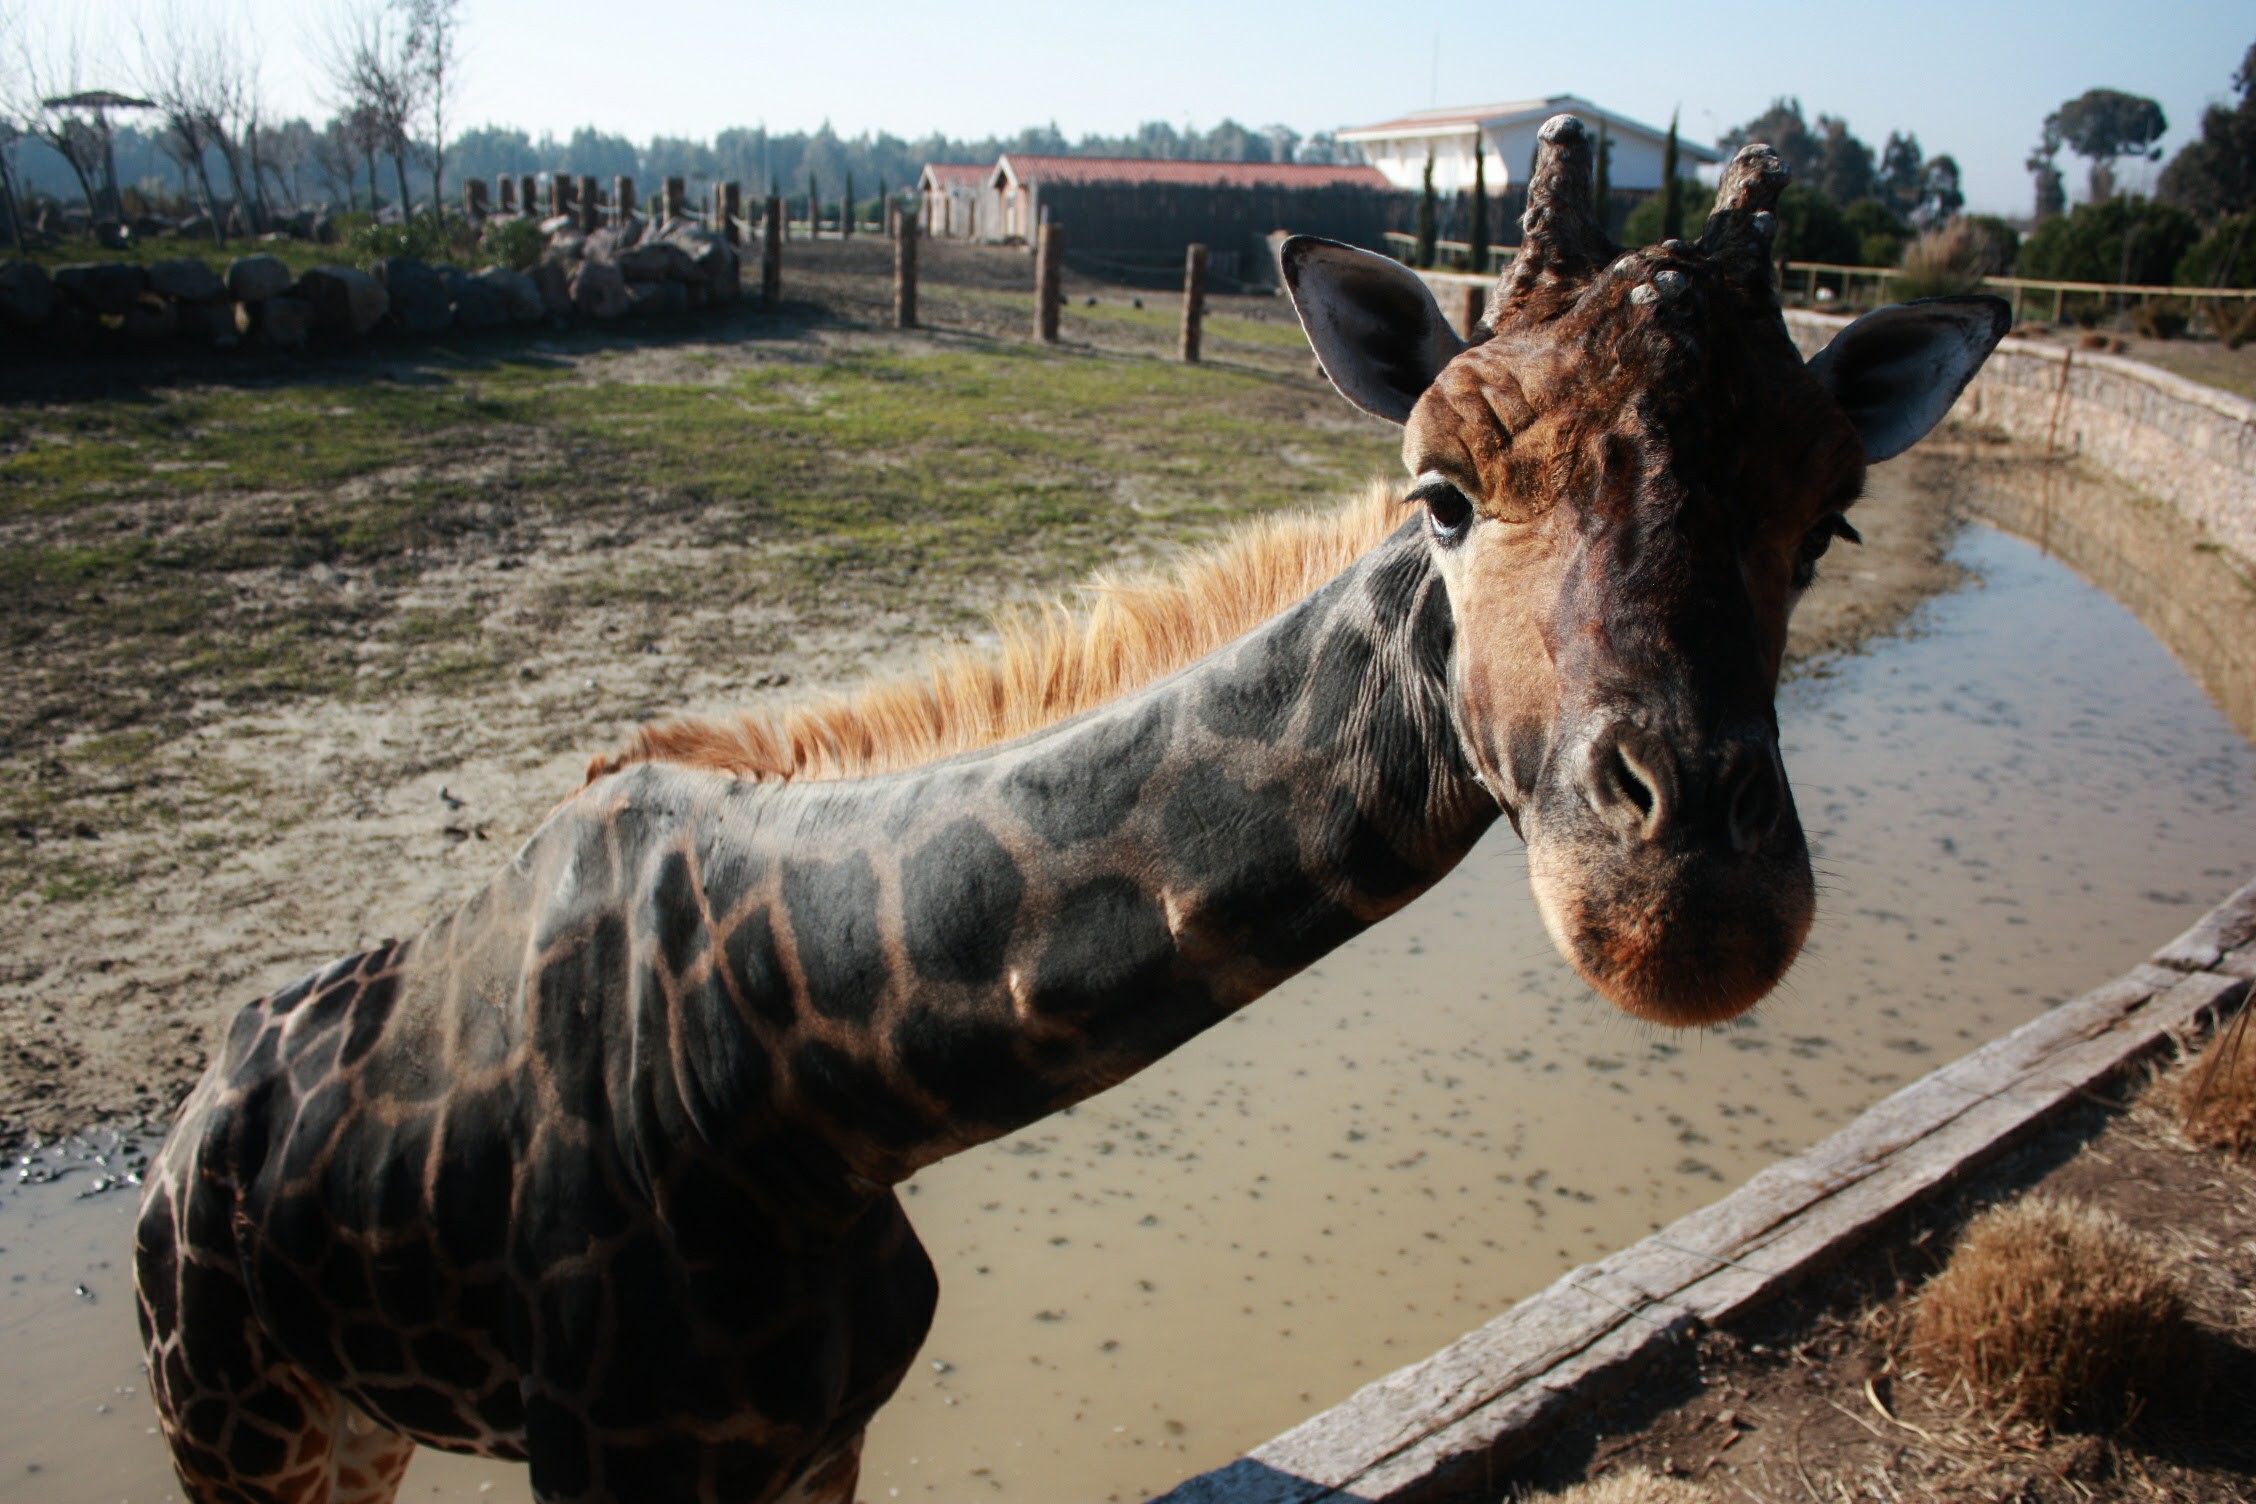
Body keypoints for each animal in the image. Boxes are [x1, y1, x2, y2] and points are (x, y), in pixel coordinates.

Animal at [136, 120, 2012, 1504]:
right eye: (1443, 492)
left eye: (1831, 521)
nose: (1686, 905)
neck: (810, 1092)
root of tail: (188, 1127)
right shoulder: (615, 1467)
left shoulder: (813, 1446)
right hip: (233, 1420)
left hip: (347, 1424)